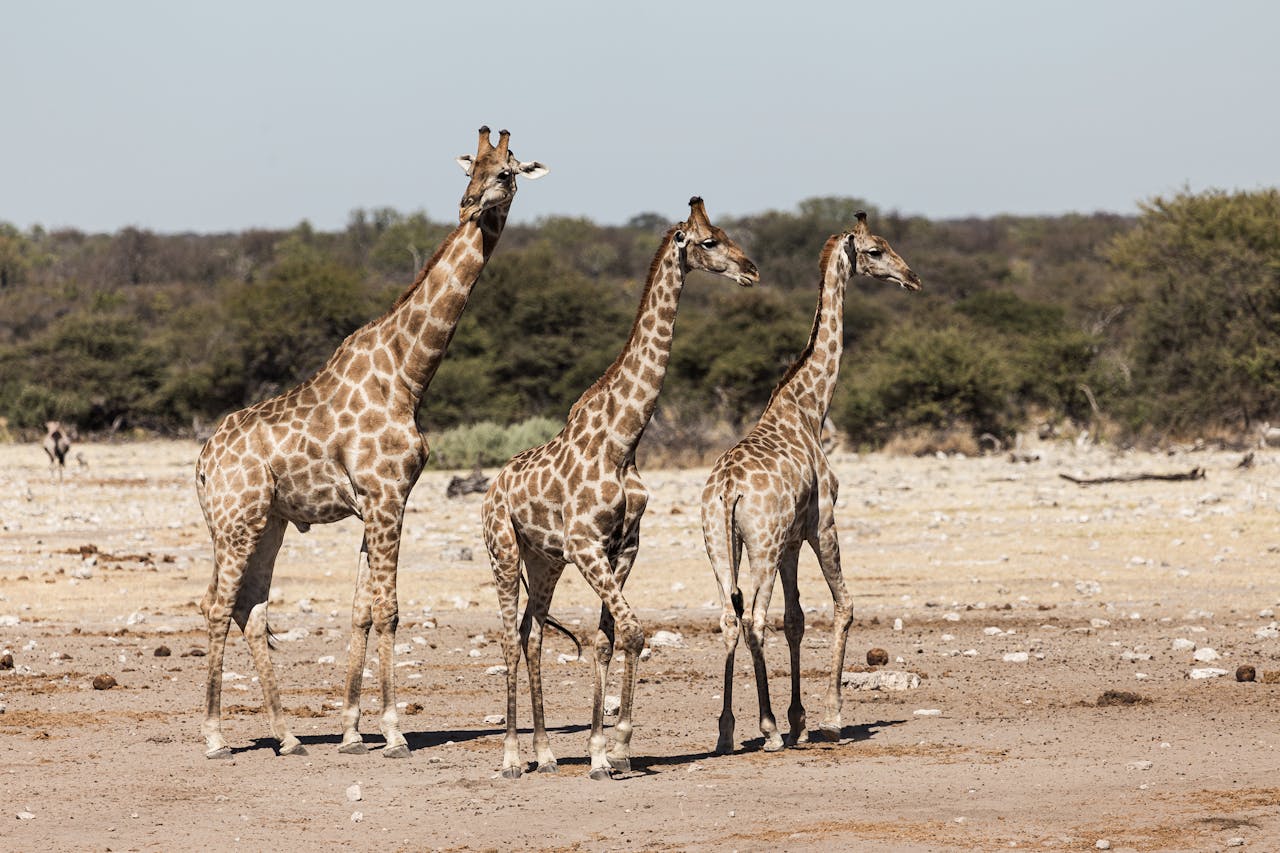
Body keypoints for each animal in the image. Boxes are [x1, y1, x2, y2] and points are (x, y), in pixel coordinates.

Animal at [194, 127, 547, 760]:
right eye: (470, 172)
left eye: (505, 173)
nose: (469, 207)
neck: (408, 374)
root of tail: (203, 465)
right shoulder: (387, 496)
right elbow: (388, 609)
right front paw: (393, 730)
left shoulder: (376, 503)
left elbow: (360, 610)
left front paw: (353, 730)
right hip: (236, 521)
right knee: (218, 606)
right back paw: (214, 737)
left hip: (267, 522)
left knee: (250, 608)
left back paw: (288, 736)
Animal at [483, 197, 759, 780]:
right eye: (709, 242)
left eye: (726, 233)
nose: (751, 270)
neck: (623, 440)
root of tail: (492, 489)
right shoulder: (588, 545)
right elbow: (630, 632)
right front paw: (611, 750)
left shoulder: (621, 547)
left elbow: (608, 640)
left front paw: (607, 749)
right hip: (502, 551)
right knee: (508, 640)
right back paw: (513, 758)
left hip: (544, 560)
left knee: (532, 635)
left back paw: (545, 754)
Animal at [701, 211, 920, 755]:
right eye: (876, 250)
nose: (912, 278)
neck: (810, 406)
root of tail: (728, 490)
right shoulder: (822, 524)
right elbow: (843, 606)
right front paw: (830, 718)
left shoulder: (792, 541)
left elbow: (796, 620)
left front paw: (799, 718)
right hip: (761, 543)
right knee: (753, 619)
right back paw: (768, 730)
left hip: (720, 543)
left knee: (730, 618)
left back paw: (727, 731)